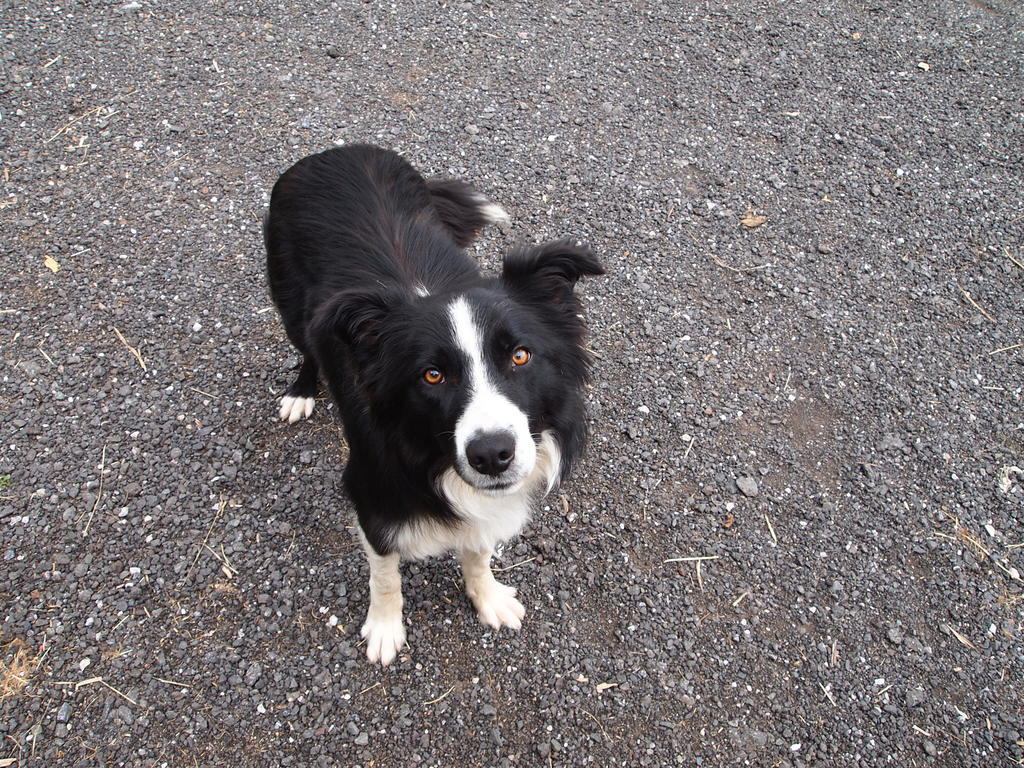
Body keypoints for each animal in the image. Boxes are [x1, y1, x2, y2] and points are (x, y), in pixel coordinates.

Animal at [262, 145, 606, 667]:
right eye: (432, 375)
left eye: (520, 356)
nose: (492, 456)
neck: (430, 455)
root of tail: (339, 150)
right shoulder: (372, 494)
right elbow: (385, 574)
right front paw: (385, 628)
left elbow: (477, 550)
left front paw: (487, 597)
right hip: (293, 308)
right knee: (307, 347)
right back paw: (300, 391)